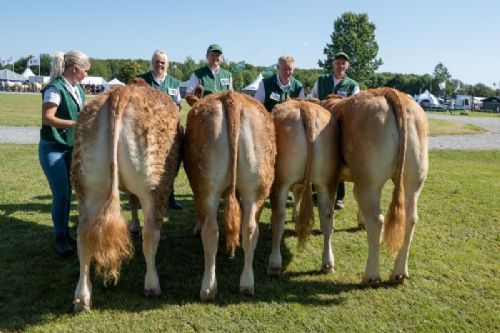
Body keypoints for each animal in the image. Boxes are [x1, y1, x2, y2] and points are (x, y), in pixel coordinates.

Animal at [69, 78, 181, 312]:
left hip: (87, 186)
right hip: (154, 184)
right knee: (150, 234)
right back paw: (152, 285)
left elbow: (132, 202)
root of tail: (121, 92)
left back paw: (82, 298)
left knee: (83, 235)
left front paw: (133, 227)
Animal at [185, 91, 278, 300]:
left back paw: (209, 288)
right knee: (248, 228)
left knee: (212, 230)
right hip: (255, 188)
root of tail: (231, 97)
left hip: (206, 188)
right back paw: (245, 284)